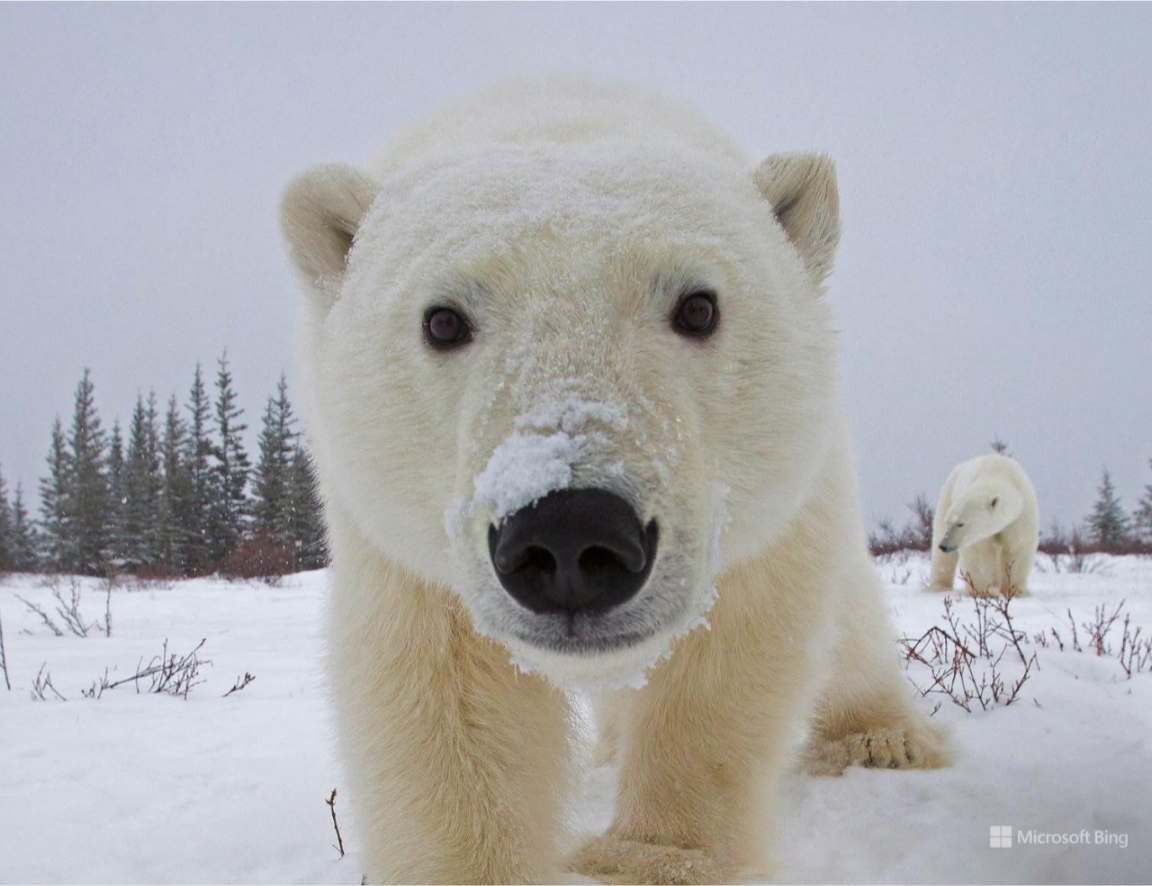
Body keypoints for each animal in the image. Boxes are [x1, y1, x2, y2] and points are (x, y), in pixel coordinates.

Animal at [279, 78, 947, 886]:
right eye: (441, 320)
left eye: (699, 305)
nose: (571, 536)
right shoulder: (399, 542)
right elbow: (442, 699)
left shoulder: (761, 517)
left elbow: (726, 660)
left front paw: (651, 856)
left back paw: (881, 738)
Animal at [928, 453, 1039, 597]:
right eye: (949, 522)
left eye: (960, 524)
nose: (944, 545)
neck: (997, 472)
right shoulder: (978, 535)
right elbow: (979, 554)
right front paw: (980, 592)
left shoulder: (1021, 516)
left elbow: (1017, 546)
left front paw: (1015, 591)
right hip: (948, 494)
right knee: (941, 553)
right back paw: (939, 586)